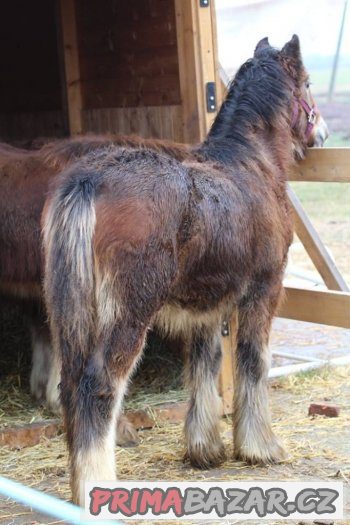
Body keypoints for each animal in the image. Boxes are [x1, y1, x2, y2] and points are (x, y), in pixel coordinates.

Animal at [43, 36, 328, 504]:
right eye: (306, 83)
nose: (320, 133)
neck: (252, 164)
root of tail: (87, 181)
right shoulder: (263, 292)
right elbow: (254, 362)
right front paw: (261, 447)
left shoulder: (206, 306)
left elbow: (204, 366)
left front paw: (205, 449)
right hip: (128, 314)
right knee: (98, 386)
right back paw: (97, 488)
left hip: (70, 315)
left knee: (70, 387)